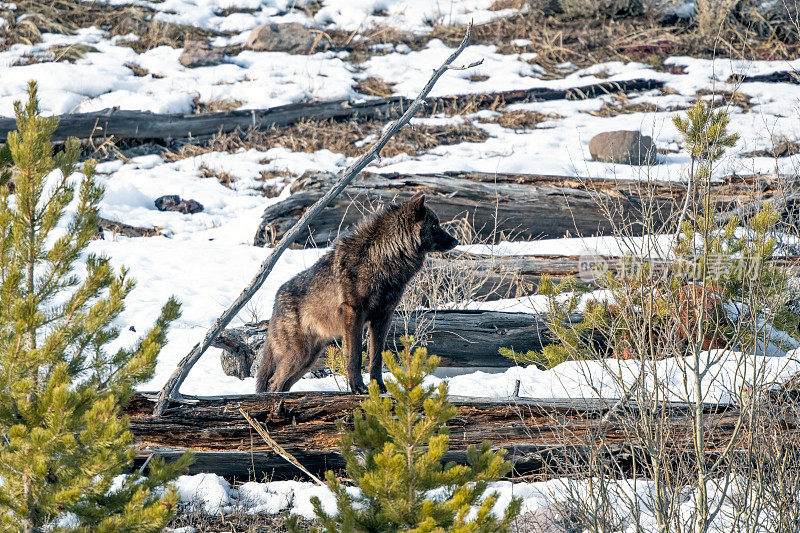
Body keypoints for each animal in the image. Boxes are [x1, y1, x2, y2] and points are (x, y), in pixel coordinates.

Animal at [256, 193, 456, 392]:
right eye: (434, 225)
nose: (456, 241)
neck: (382, 257)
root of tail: (276, 300)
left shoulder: (383, 317)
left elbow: (376, 358)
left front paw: (379, 387)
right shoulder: (354, 314)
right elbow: (355, 356)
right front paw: (358, 388)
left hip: (308, 359)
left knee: (282, 383)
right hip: (298, 354)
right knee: (274, 382)